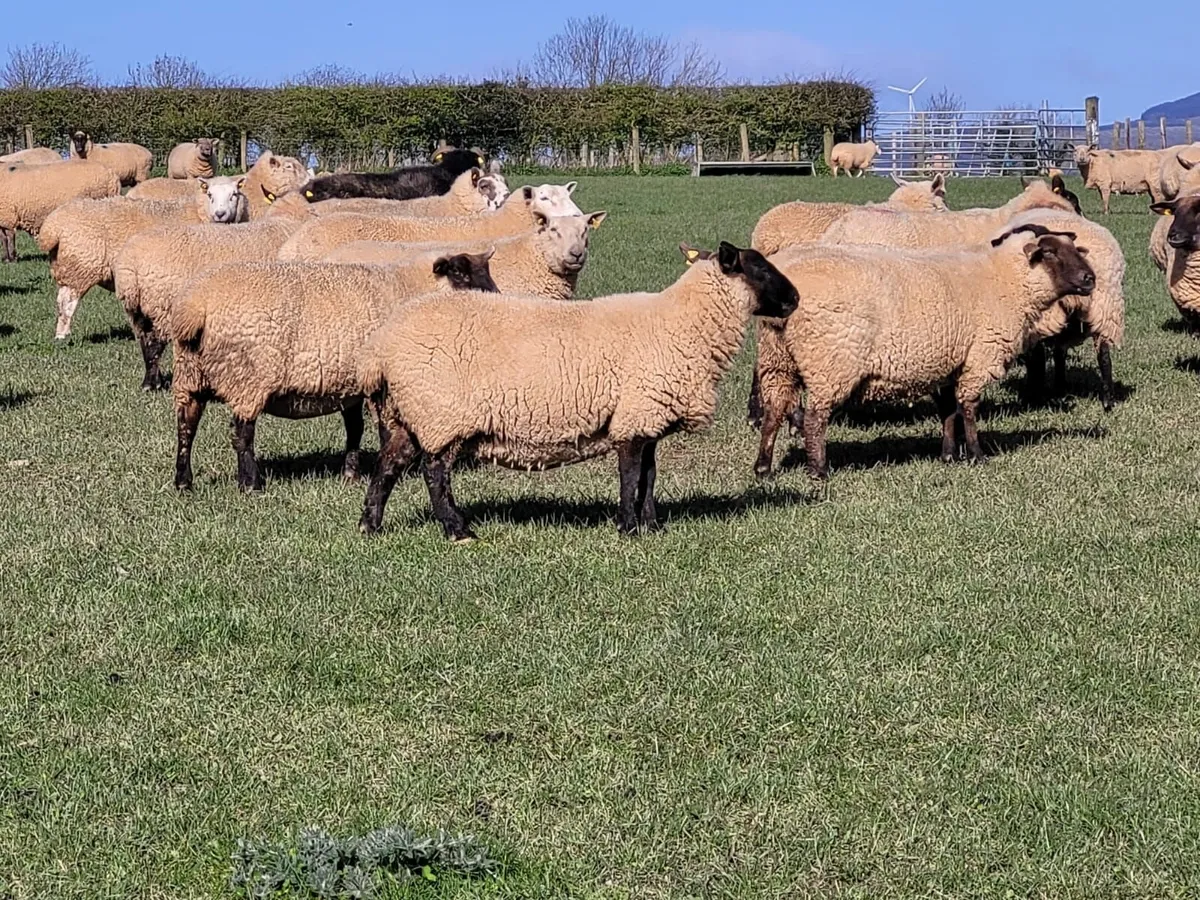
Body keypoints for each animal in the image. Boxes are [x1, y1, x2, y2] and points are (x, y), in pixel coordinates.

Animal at [38, 176, 247, 340]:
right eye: (210, 195)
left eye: (234, 195)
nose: (220, 214)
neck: (198, 212)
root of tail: (52, 227)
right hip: (81, 268)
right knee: (68, 302)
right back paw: (63, 335)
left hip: (67, 267)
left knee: (60, 301)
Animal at [113, 187, 322, 390]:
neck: (286, 221)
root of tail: (130, 266)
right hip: (161, 305)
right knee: (155, 344)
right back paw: (155, 384)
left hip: (137, 310)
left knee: (145, 343)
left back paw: (149, 382)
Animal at [169, 252, 499, 493]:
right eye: (460, 274)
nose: (494, 301)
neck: (409, 287)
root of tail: (194, 306)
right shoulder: (379, 383)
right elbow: (383, 431)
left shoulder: (350, 386)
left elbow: (354, 429)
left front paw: (351, 473)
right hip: (247, 377)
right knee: (241, 433)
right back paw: (250, 484)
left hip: (190, 376)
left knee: (186, 426)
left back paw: (184, 482)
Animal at [354, 241, 799, 541]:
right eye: (759, 269)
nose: (795, 299)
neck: (683, 324)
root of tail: (380, 347)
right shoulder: (635, 414)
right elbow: (630, 474)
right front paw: (628, 528)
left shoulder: (646, 414)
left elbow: (650, 475)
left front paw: (652, 525)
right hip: (441, 413)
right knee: (434, 472)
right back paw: (457, 529)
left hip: (407, 413)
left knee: (387, 466)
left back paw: (369, 524)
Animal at [751, 225, 1095, 479]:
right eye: (1050, 252)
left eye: (1074, 249)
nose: (1090, 279)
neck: (1005, 279)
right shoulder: (979, 357)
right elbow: (968, 408)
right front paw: (977, 455)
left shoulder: (946, 363)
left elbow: (948, 410)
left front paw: (948, 455)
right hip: (831, 361)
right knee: (814, 419)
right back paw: (818, 471)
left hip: (777, 359)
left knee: (773, 412)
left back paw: (763, 468)